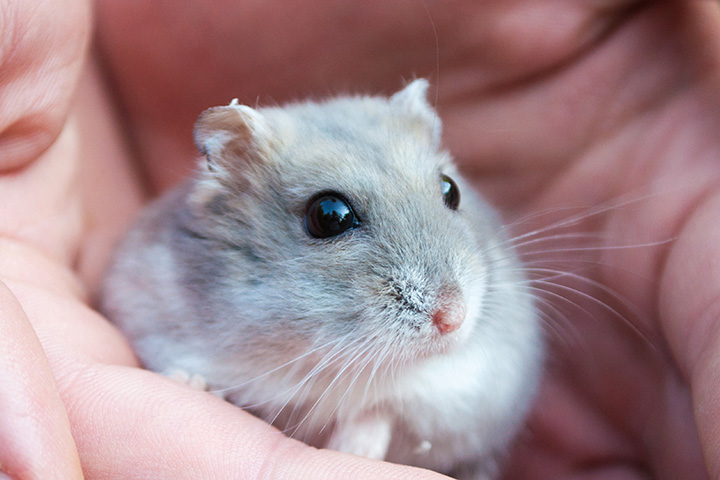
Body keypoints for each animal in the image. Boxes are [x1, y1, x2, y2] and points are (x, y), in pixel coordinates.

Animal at [100, 79, 542, 480]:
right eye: (330, 216)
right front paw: (190, 383)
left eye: (451, 190)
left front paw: (352, 451)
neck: (315, 356)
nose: (454, 319)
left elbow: (381, 412)